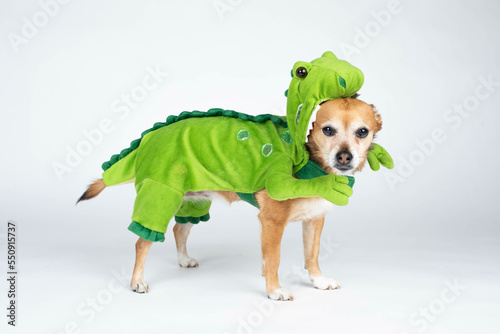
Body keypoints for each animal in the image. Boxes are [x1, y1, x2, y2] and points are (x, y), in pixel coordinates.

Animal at [80, 96, 380, 300]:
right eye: (327, 130)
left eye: (362, 132)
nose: (345, 157)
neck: (311, 161)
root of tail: (149, 137)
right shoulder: (272, 222)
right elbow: (274, 259)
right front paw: (274, 290)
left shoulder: (314, 220)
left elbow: (312, 256)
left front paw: (318, 281)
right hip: (160, 195)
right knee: (143, 242)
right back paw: (137, 281)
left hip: (193, 199)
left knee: (179, 229)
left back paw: (183, 259)